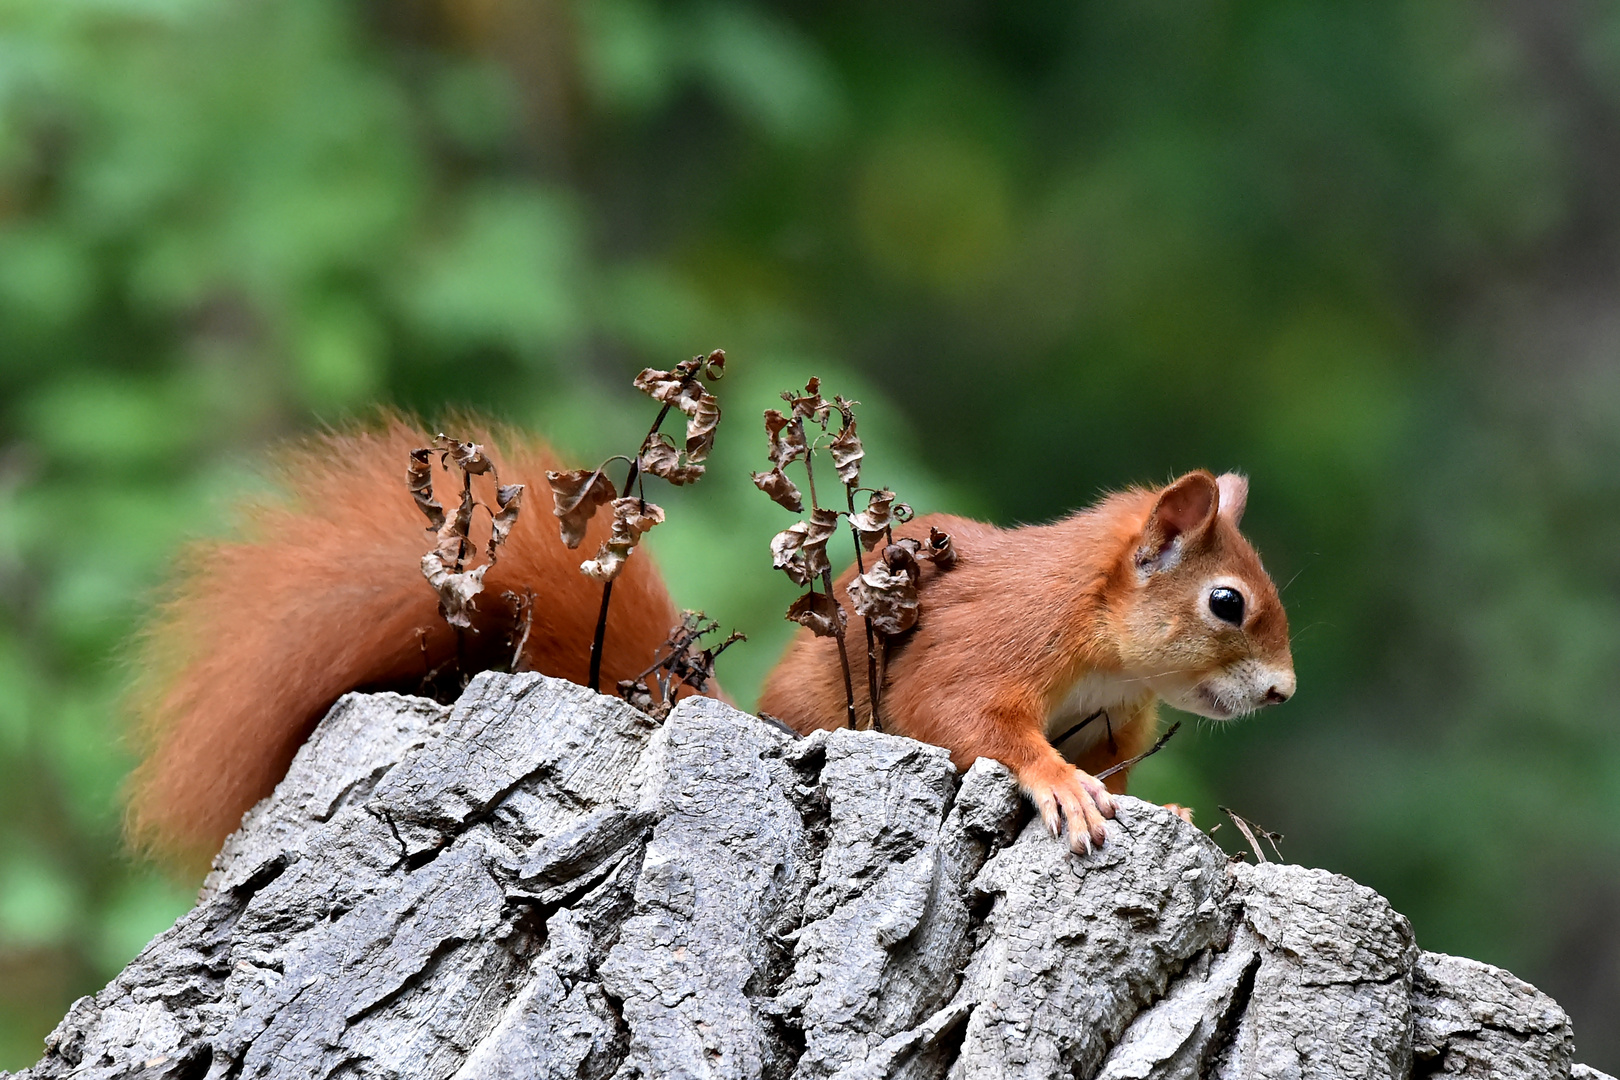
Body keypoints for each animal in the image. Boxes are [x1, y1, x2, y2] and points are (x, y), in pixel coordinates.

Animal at [126, 417, 1296, 867]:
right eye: (1227, 604)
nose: (1285, 693)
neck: (1101, 641)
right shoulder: (999, 643)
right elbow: (968, 720)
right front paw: (1059, 786)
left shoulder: (1117, 714)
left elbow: (1118, 764)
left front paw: (1154, 806)